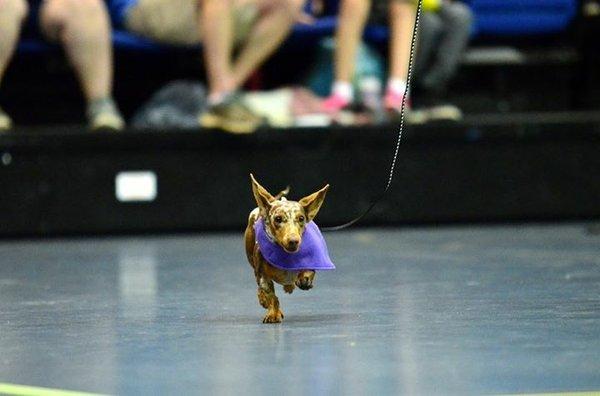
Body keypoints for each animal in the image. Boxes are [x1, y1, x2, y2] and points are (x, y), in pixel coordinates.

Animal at [244, 175, 328, 324]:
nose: (293, 241)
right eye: (278, 219)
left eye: (301, 218)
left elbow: (307, 271)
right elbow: (271, 295)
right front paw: (272, 313)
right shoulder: (262, 275)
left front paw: (304, 280)